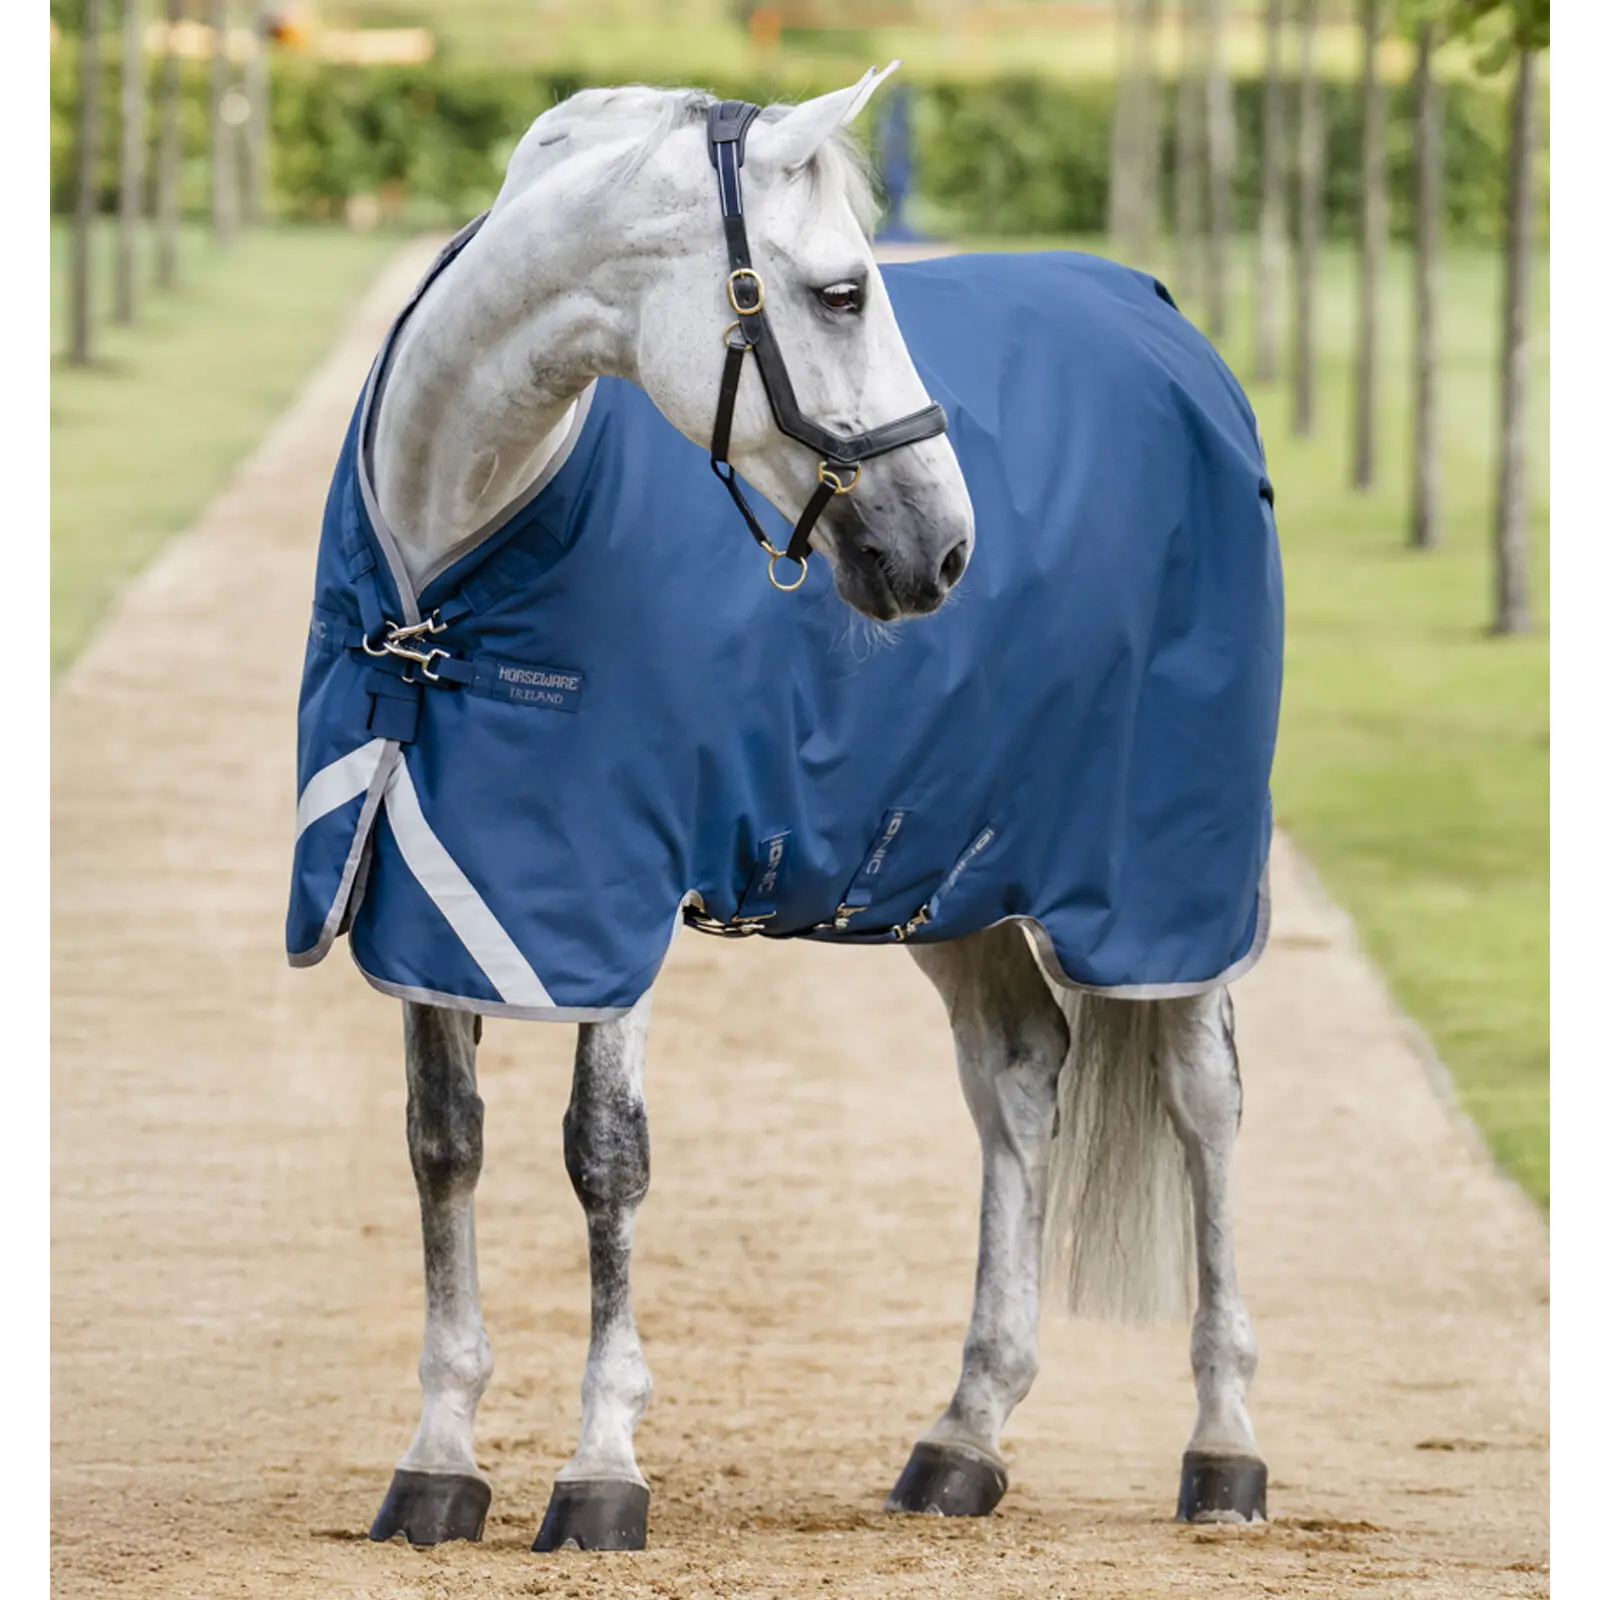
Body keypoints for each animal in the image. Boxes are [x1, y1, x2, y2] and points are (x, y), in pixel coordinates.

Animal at [288, 67, 1281, 1551]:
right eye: (844, 293)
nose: (945, 548)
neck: (448, 571)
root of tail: (1168, 329)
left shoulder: (608, 894)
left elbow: (604, 1158)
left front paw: (601, 1468)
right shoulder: (438, 890)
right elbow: (443, 1146)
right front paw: (439, 1462)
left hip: (1166, 877)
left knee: (1202, 1101)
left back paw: (1223, 1447)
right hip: (950, 870)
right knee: (1019, 1075)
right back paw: (963, 1437)